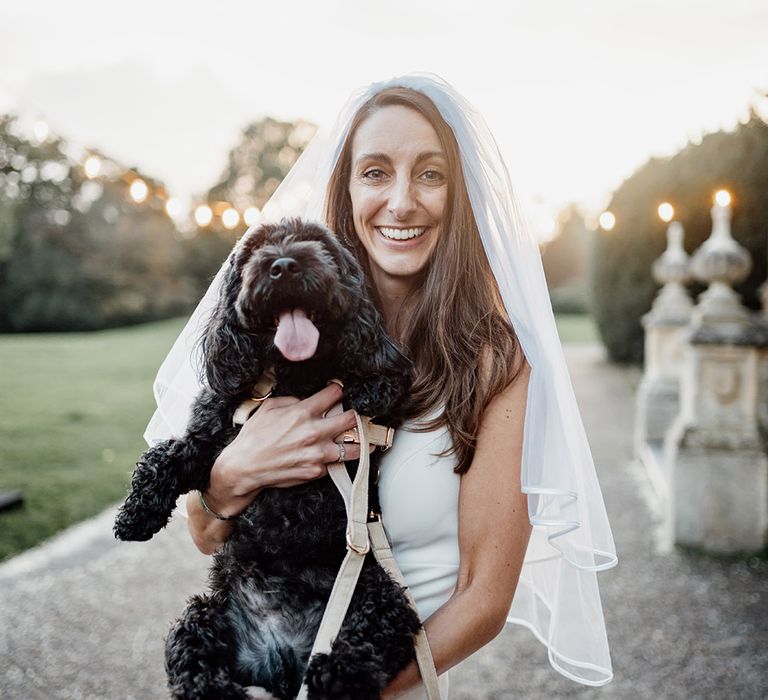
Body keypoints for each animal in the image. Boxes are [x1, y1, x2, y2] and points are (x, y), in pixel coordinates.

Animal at [115, 219, 420, 700]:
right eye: (255, 249)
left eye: (319, 244)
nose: (284, 265)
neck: (294, 379)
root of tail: (283, 657)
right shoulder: (210, 443)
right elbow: (165, 454)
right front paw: (136, 515)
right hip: (204, 614)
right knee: (191, 657)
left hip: (379, 592)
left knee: (368, 638)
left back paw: (335, 675)